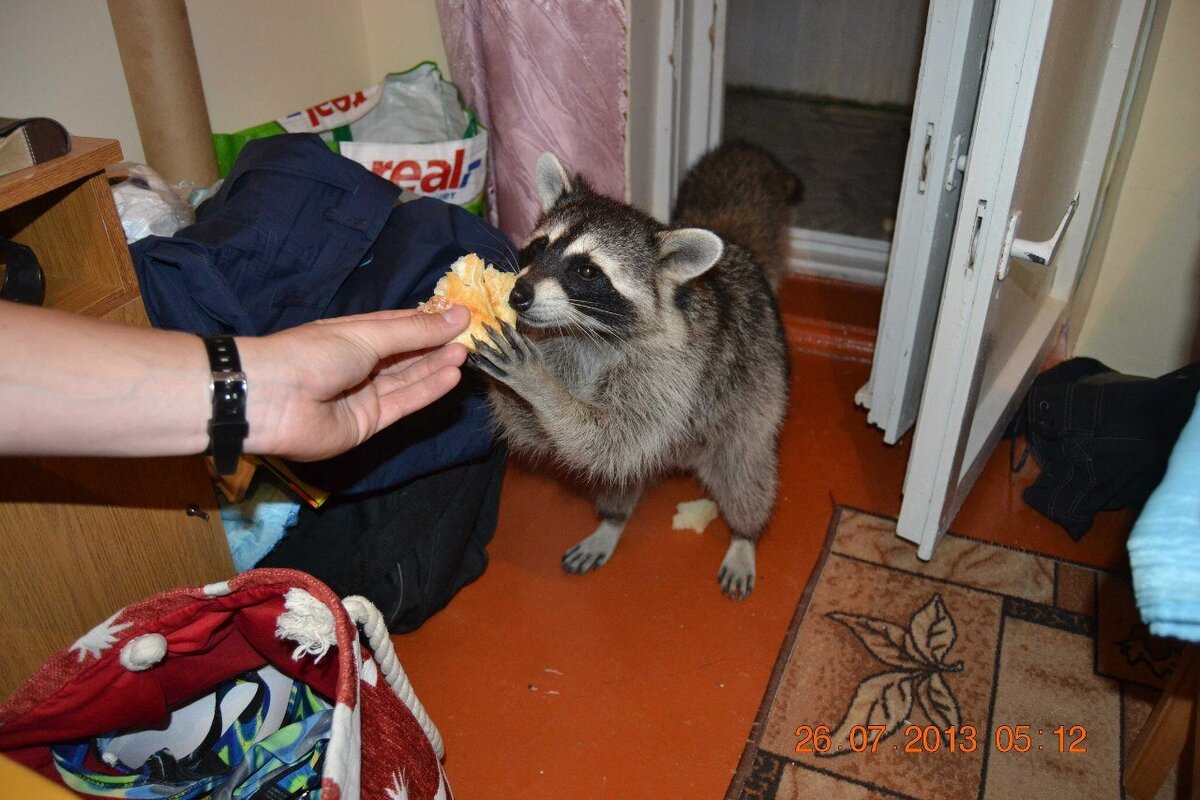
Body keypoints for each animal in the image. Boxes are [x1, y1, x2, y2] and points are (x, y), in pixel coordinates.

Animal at [468, 140, 796, 597]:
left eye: (586, 271)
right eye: (538, 247)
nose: (518, 294)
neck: (588, 330)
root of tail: (737, 251)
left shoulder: (669, 371)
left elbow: (611, 439)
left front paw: (538, 384)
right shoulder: (560, 344)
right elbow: (544, 436)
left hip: (756, 387)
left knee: (743, 467)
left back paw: (745, 533)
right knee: (617, 477)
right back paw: (613, 519)